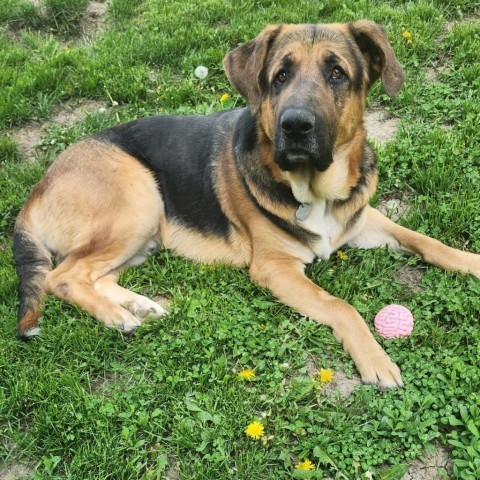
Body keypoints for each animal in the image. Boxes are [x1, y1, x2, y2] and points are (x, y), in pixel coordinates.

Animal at [14, 20, 480, 392]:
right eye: (280, 76)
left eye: (337, 73)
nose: (295, 126)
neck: (315, 191)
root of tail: (36, 191)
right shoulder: (276, 269)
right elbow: (339, 305)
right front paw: (376, 359)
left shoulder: (362, 220)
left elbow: (426, 241)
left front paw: (471, 261)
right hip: (137, 201)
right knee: (62, 276)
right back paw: (115, 316)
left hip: (145, 232)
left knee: (97, 275)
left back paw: (137, 305)